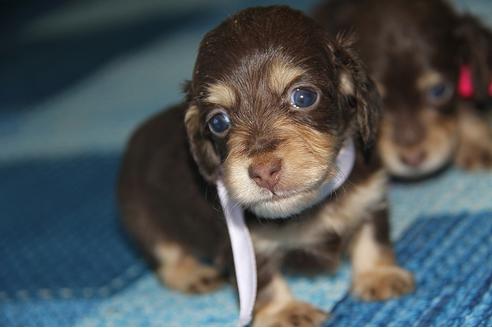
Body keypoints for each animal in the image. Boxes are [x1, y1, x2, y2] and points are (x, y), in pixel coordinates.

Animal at [117, 5, 414, 326]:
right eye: (218, 121)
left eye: (303, 96)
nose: (263, 172)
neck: (312, 206)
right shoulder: (243, 247)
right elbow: (265, 280)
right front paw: (285, 311)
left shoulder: (371, 197)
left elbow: (373, 237)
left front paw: (379, 275)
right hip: (142, 218)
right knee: (166, 253)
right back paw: (191, 273)